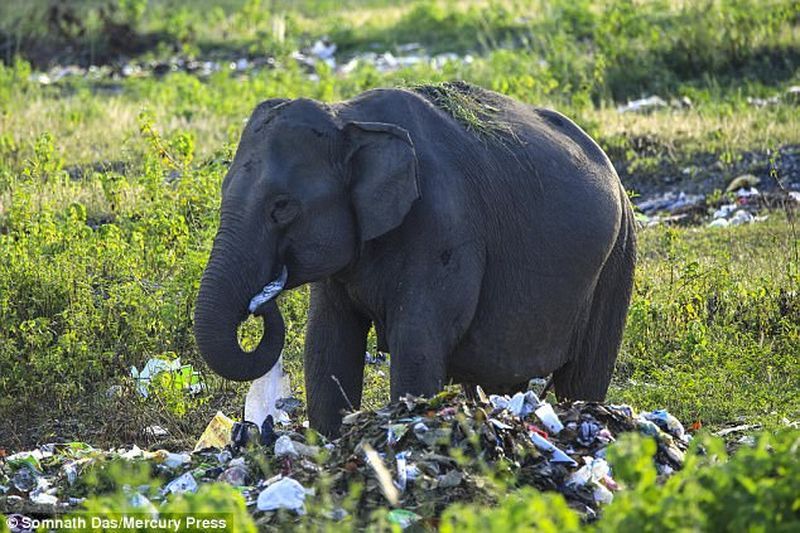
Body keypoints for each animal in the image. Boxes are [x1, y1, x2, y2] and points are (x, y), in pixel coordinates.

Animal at [195, 80, 636, 436]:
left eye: (282, 207)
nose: (260, 304)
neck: (349, 117)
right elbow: (328, 342)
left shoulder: (444, 226)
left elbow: (417, 341)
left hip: (616, 260)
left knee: (582, 379)